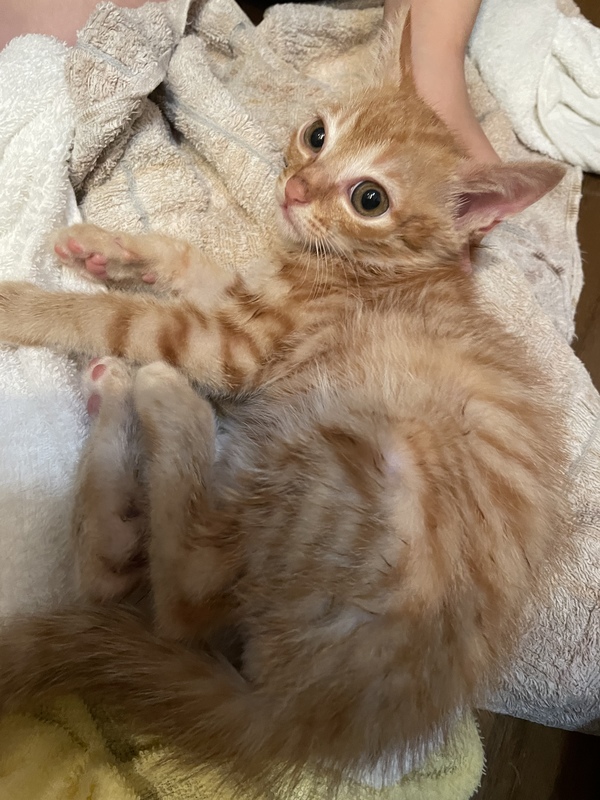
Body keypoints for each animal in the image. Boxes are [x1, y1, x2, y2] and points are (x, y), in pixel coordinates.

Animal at [0, 18, 570, 797]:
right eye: (317, 135)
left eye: (369, 200)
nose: (297, 188)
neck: (360, 270)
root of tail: (310, 720)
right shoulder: (240, 302)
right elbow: (189, 259)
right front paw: (102, 246)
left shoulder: (238, 349)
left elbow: (123, 317)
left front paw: (27, 306)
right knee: (114, 586)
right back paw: (115, 420)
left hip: (343, 460)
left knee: (184, 602)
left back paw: (166, 401)